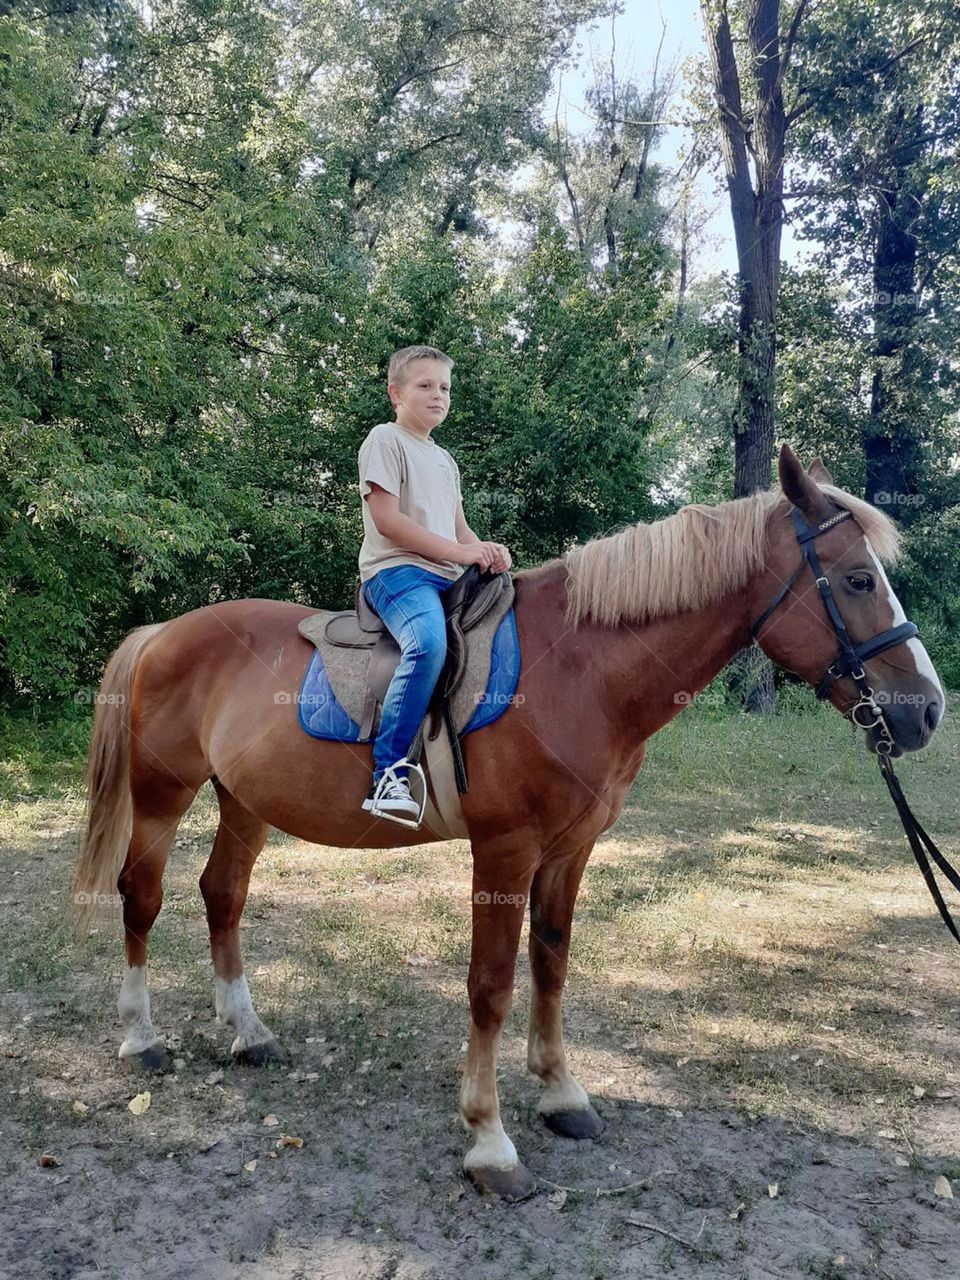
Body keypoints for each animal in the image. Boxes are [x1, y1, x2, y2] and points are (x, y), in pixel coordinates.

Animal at [73, 444, 945, 1199]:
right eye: (858, 579)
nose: (928, 710)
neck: (582, 669)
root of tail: (164, 633)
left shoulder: (570, 849)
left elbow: (551, 962)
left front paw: (561, 1094)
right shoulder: (505, 850)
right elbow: (490, 984)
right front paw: (489, 1142)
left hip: (243, 802)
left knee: (222, 894)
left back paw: (248, 1033)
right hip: (163, 793)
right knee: (141, 896)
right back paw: (141, 1039)